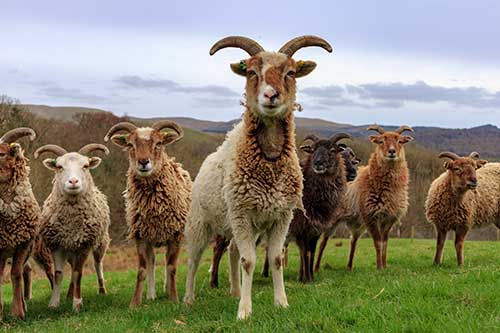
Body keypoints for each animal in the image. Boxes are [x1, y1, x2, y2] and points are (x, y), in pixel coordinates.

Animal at [184, 34, 332, 320]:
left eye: (290, 73)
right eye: (251, 72)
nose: (271, 95)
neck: (269, 161)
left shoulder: (281, 216)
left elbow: (274, 259)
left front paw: (281, 303)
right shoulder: (242, 213)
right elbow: (249, 261)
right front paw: (245, 312)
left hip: (237, 225)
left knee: (232, 251)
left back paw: (235, 291)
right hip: (201, 221)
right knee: (194, 257)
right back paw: (187, 298)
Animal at [340, 125, 414, 270]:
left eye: (400, 141)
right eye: (381, 141)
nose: (392, 152)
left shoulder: (389, 218)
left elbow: (385, 242)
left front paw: (384, 266)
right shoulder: (371, 217)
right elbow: (378, 242)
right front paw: (379, 267)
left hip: (357, 224)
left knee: (353, 240)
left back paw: (349, 267)